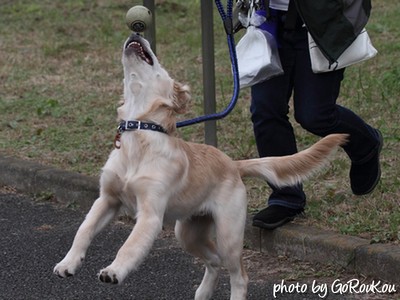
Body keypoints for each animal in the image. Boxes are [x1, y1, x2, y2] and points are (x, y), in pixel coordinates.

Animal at [53, 33, 346, 300]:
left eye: (161, 66)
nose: (136, 32)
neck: (140, 132)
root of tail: (233, 164)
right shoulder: (107, 200)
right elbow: (84, 230)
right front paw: (68, 263)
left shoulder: (150, 214)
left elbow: (129, 245)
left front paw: (114, 271)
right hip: (187, 232)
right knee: (213, 261)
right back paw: (203, 292)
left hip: (228, 234)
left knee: (239, 274)